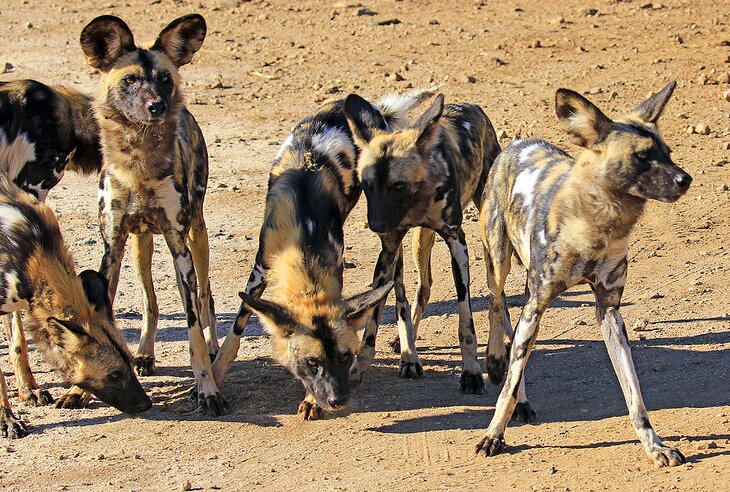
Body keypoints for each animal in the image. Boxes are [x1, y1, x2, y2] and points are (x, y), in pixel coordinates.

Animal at [0, 174, 151, 438]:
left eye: (131, 365)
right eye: (114, 374)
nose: (146, 404)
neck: (32, 254)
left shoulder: (14, 305)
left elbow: (18, 347)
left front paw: (27, 391)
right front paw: (7, 419)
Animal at [79, 14, 222, 416]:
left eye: (165, 79)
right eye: (130, 80)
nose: (157, 104)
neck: (139, 166)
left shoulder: (179, 247)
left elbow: (192, 328)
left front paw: (207, 389)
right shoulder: (112, 248)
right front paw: (82, 393)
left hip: (197, 238)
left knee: (205, 296)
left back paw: (213, 345)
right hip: (139, 245)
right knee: (149, 300)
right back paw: (143, 352)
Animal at [213, 89, 436, 418]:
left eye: (345, 357)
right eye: (312, 362)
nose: (338, 400)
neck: (302, 240)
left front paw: (309, 400)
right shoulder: (259, 271)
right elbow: (234, 333)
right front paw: (211, 379)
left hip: (389, 242)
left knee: (401, 296)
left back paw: (409, 355)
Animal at [346, 92, 504, 392]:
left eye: (398, 186)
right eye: (367, 185)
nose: (377, 226)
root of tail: (470, 106)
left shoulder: (457, 244)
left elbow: (466, 321)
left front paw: (471, 372)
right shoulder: (389, 250)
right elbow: (377, 318)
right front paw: (358, 369)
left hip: (486, 229)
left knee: (495, 290)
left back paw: (501, 347)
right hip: (417, 243)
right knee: (421, 289)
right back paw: (408, 351)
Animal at [474, 82, 692, 468]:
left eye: (667, 153)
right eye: (642, 157)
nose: (686, 179)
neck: (597, 226)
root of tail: (516, 144)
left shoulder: (609, 311)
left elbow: (634, 394)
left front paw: (654, 446)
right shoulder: (538, 304)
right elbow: (509, 386)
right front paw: (493, 435)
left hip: (530, 294)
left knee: (516, 338)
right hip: (501, 268)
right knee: (498, 309)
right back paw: (498, 363)